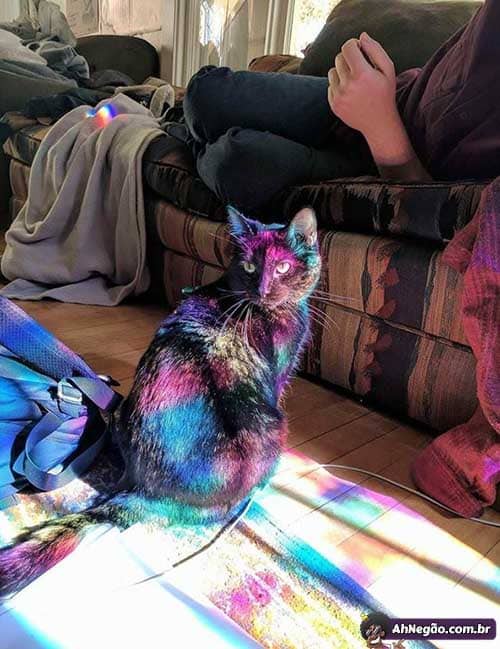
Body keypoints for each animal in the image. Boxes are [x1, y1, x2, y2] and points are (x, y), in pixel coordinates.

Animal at [0, 205, 321, 597]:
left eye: (283, 267)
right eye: (249, 267)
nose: (262, 289)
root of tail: (146, 493)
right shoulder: (279, 376)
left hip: (123, 414)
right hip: (275, 429)